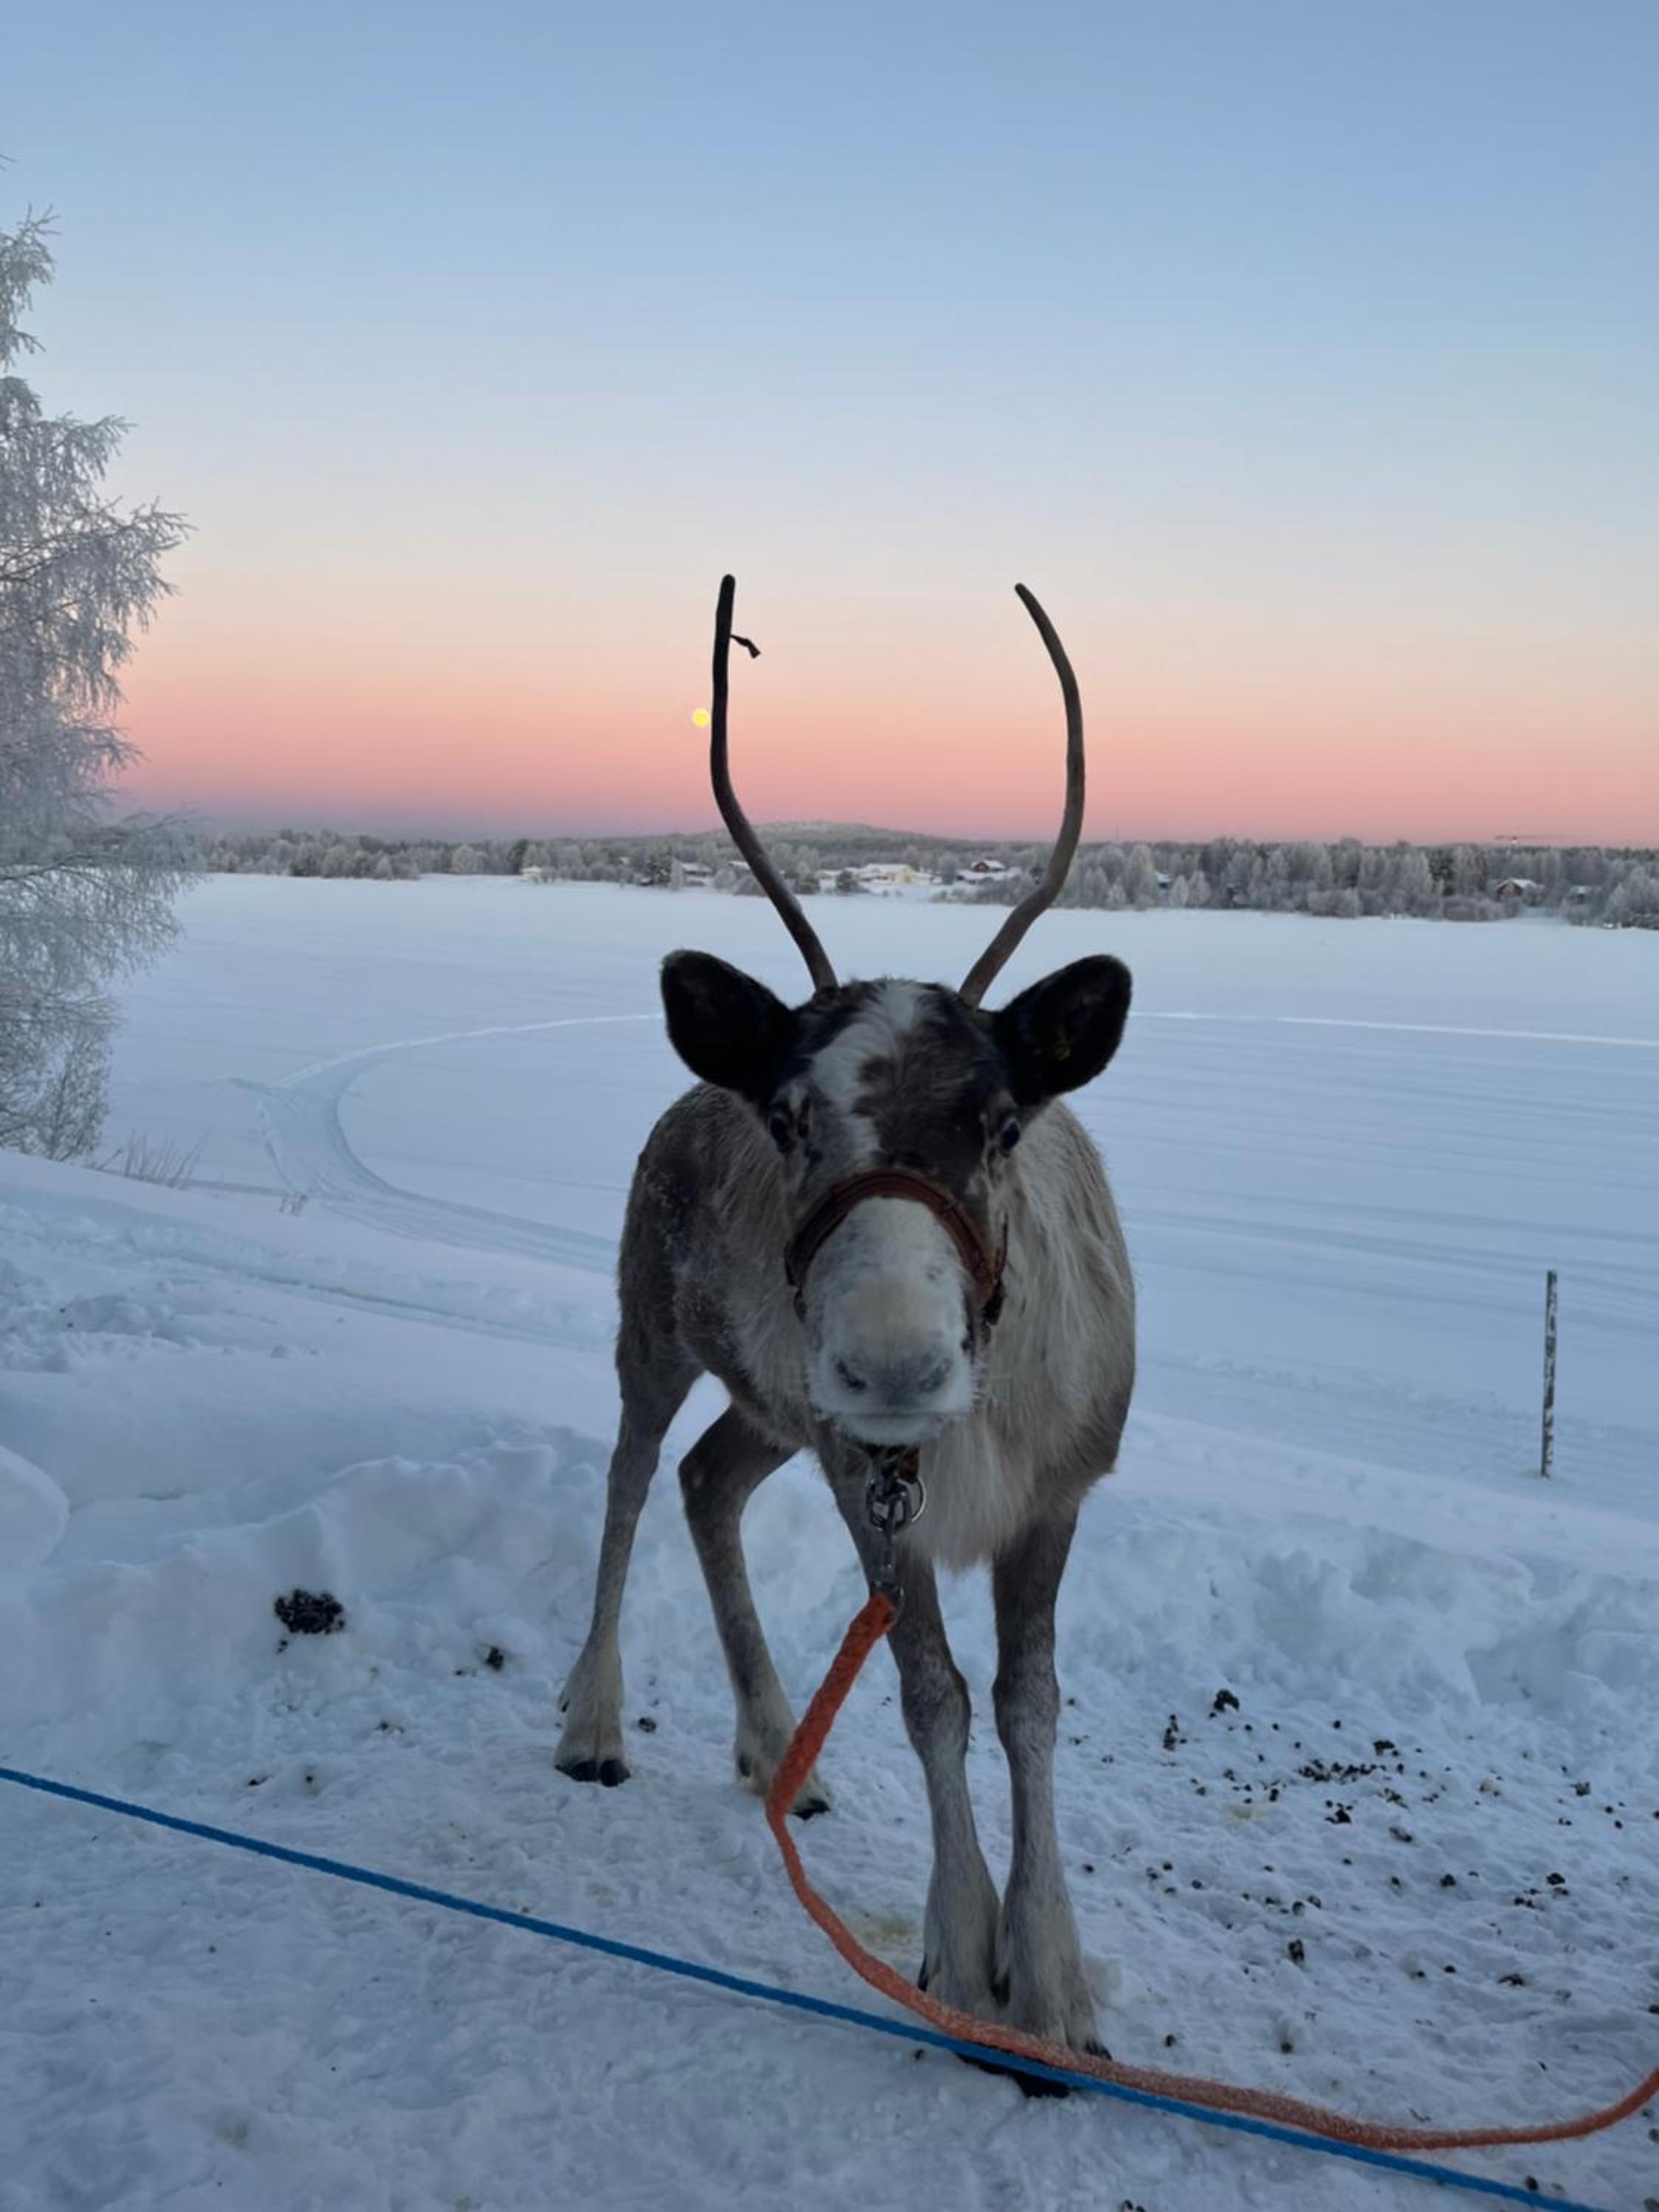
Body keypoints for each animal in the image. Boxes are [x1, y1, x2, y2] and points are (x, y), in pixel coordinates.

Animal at [556, 575, 1135, 2066]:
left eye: (1000, 1123)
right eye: (791, 1119)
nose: (892, 1365)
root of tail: (679, 1092)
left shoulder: (1054, 1491)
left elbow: (1029, 1704)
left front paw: (1054, 1984)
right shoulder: (880, 1491)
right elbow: (933, 1695)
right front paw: (963, 1962)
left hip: (779, 1408)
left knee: (708, 1481)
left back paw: (776, 1747)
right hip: (664, 1338)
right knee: (630, 1477)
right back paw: (594, 1718)